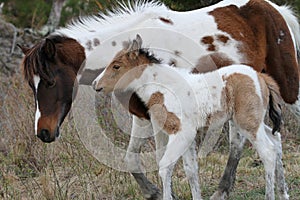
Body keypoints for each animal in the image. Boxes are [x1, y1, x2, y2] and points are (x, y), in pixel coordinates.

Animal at [94, 36, 286, 200]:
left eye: (116, 66)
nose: (97, 85)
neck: (162, 88)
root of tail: (261, 77)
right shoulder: (184, 136)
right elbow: (190, 170)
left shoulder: (180, 132)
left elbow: (165, 166)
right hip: (252, 121)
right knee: (276, 139)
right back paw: (284, 193)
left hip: (248, 123)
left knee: (268, 152)